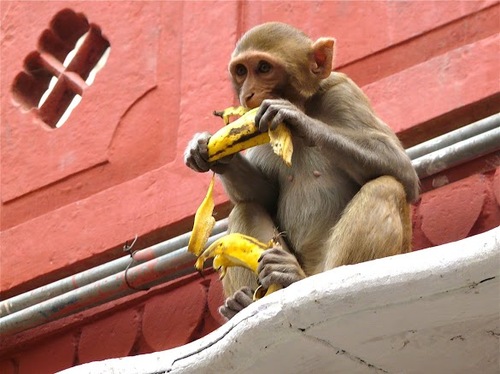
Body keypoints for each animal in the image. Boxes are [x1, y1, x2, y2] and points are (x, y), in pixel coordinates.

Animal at [184, 21, 418, 320]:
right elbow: (265, 196)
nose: (248, 94)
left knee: (386, 186)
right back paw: (248, 300)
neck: (306, 102)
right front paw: (204, 148)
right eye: (241, 71)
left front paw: (296, 119)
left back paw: (296, 277)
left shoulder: (343, 91)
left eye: (263, 68)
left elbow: (402, 171)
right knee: (245, 208)